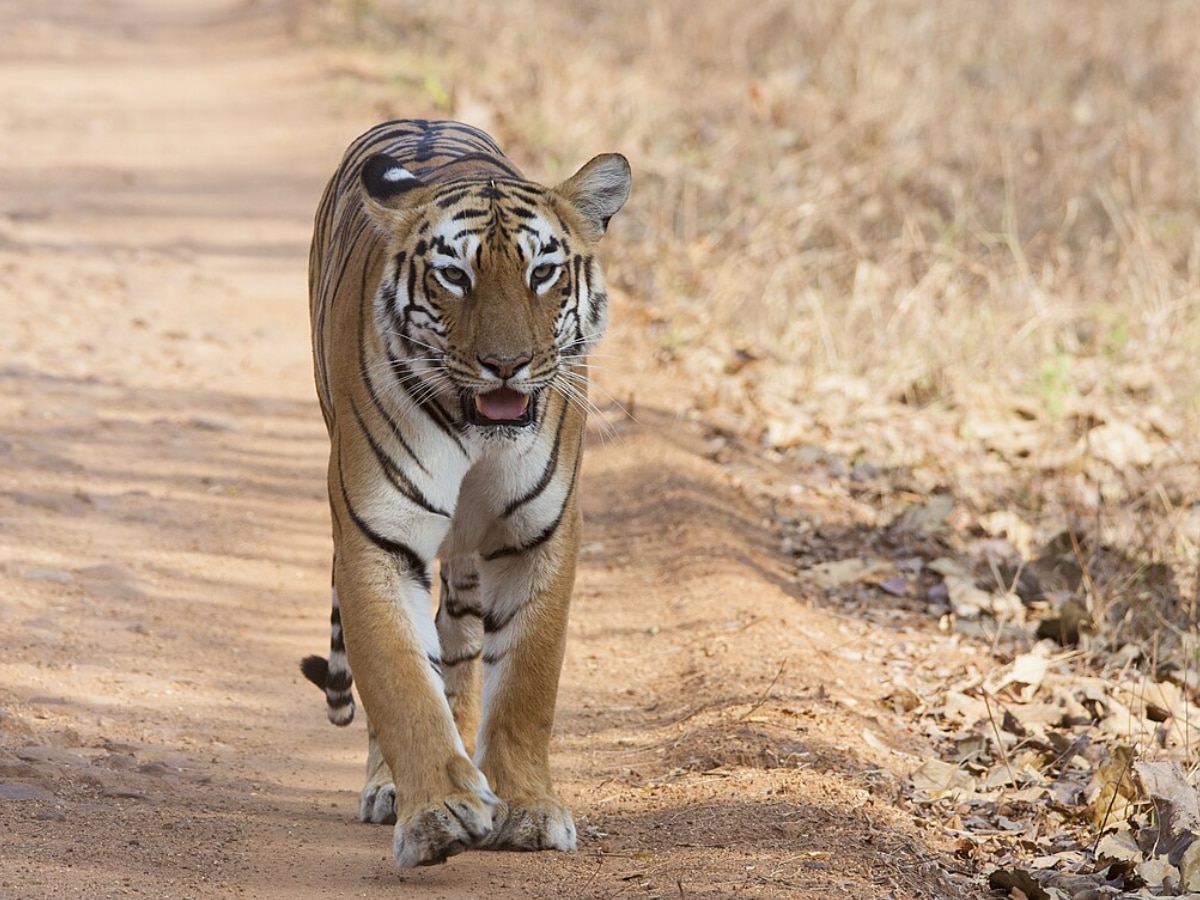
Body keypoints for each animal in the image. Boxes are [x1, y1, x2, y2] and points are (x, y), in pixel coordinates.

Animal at [300, 116, 633, 868]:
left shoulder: (538, 537)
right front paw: (438, 811)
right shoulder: (377, 539)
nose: (506, 365)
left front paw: (528, 808)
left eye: (542, 273)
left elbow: (526, 685)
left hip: (469, 566)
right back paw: (391, 788)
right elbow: (400, 682)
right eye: (455, 275)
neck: (480, 434)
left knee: (458, 648)